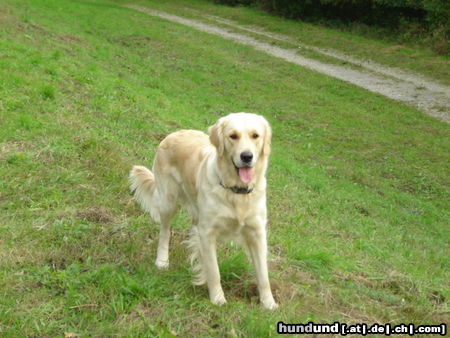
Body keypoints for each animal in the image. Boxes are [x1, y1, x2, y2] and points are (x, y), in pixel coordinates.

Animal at [129, 113, 278, 308]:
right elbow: (214, 271)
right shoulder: (208, 232)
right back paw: (162, 260)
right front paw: (217, 299)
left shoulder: (257, 233)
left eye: (255, 136)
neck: (236, 192)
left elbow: (263, 275)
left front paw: (269, 303)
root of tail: (173, 134)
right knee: (165, 232)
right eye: (233, 136)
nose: (247, 156)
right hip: (168, 201)